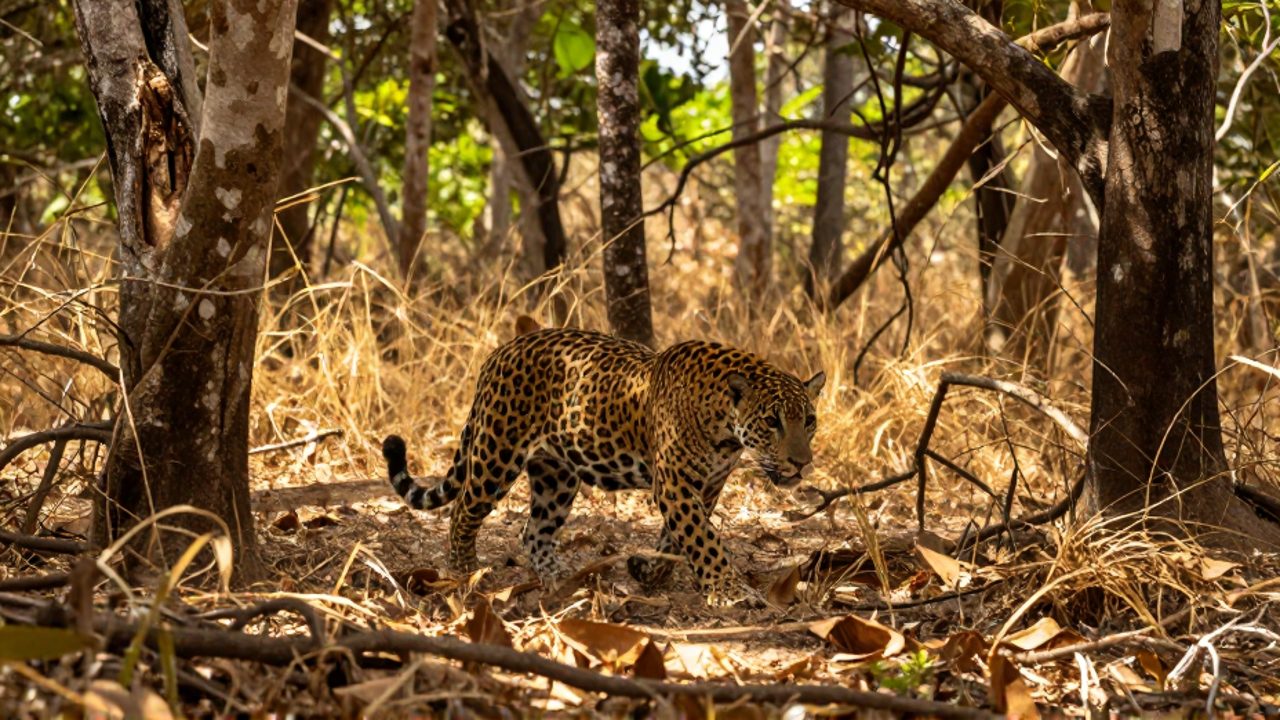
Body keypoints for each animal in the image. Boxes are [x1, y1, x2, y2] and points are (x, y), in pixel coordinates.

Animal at [382, 327, 824, 604]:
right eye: (772, 422)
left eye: (810, 421)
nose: (802, 464)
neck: (723, 426)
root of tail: (500, 352)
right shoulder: (676, 485)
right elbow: (704, 539)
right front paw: (729, 591)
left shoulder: (707, 486)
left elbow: (676, 539)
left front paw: (649, 572)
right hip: (497, 453)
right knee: (462, 511)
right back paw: (465, 572)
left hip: (556, 475)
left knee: (534, 531)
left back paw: (560, 580)